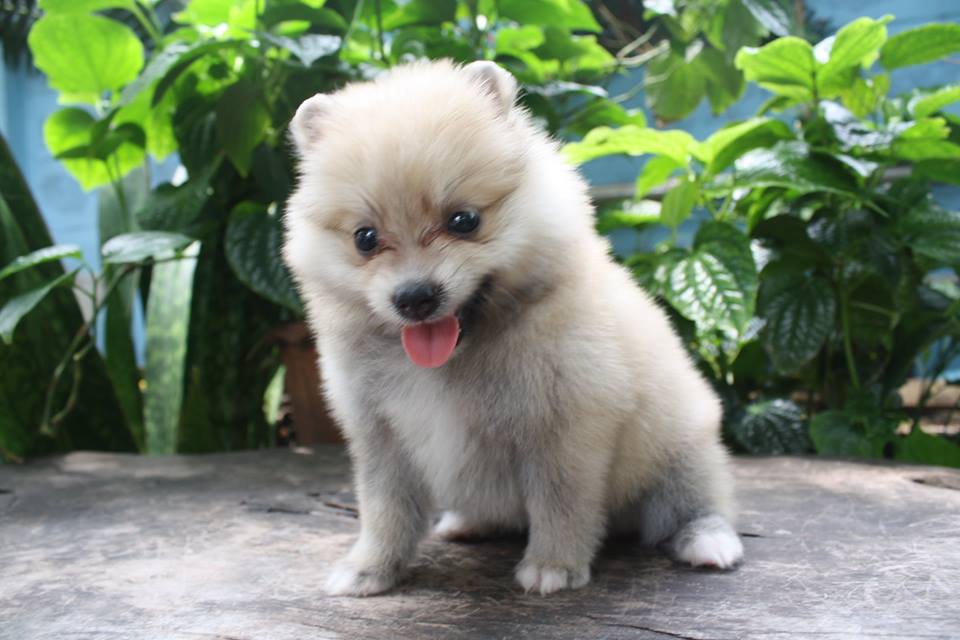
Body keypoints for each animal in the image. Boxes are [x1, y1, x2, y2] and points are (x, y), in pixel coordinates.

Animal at [283, 60, 743, 596]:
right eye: (365, 238)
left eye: (464, 220)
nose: (415, 297)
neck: (452, 362)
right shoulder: (381, 436)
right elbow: (385, 511)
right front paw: (370, 568)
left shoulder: (564, 429)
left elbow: (560, 503)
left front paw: (553, 565)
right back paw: (467, 523)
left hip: (682, 450)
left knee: (693, 502)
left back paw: (707, 540)